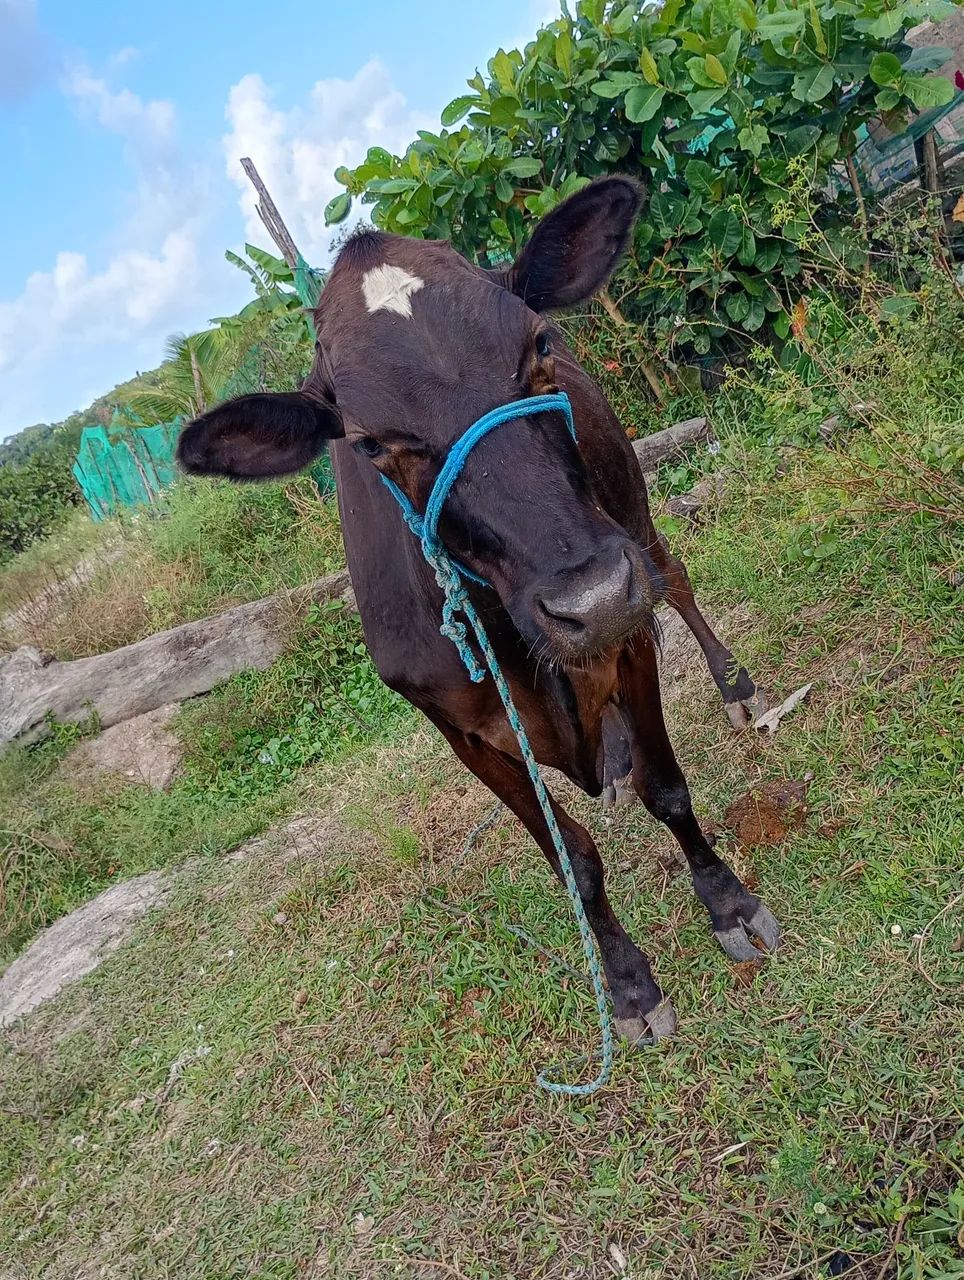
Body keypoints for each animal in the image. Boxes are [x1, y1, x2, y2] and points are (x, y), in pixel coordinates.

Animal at [177, 178, 781, 1042]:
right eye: (370, 444)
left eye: (539, 343)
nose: (589, 598)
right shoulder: (461, 731)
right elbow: (573, 859)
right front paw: (629, 986)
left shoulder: (626, 631)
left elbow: (669, 787)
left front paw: (727, 903)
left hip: (633, 520)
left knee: (675, 576)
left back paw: (734, 688)